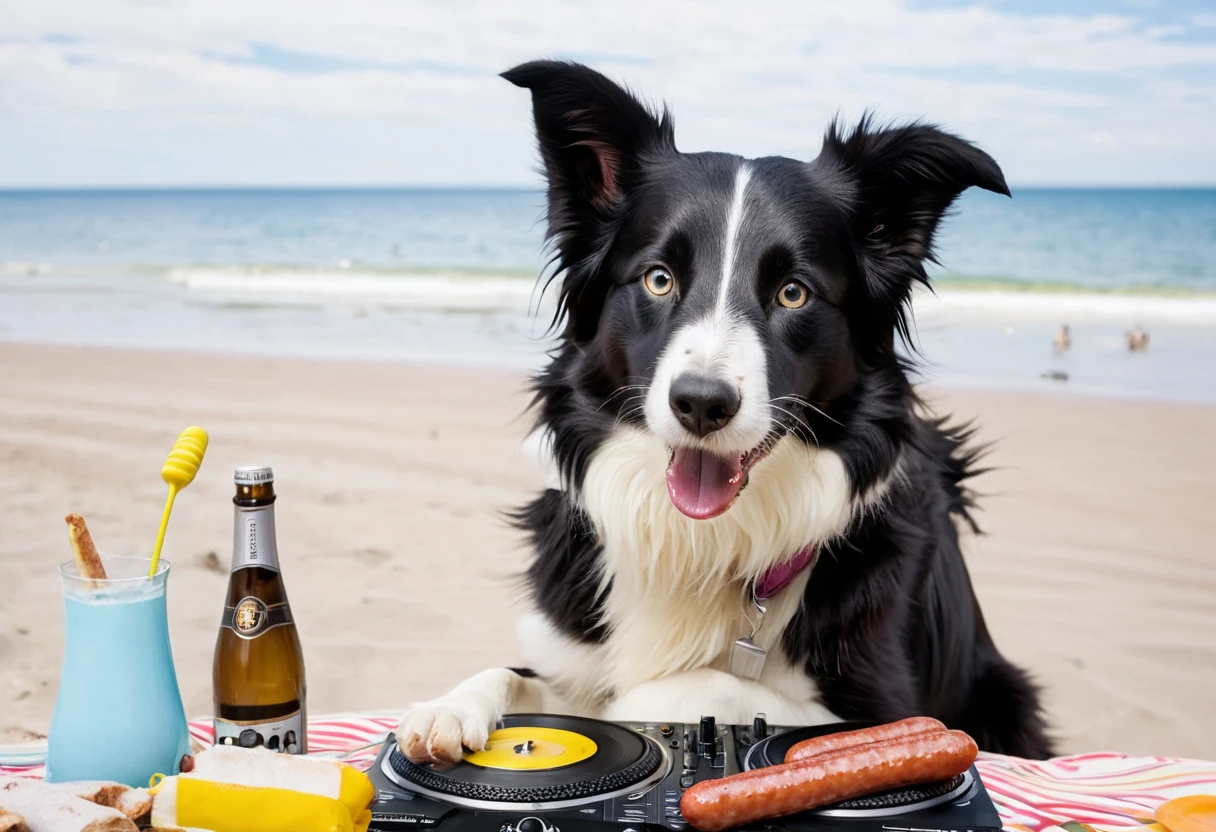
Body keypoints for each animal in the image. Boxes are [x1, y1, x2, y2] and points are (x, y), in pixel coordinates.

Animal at [398, 61, 1055, 763]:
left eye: (793, 293)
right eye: (659, 279)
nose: (701, 403)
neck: (700, 541)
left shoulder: (888, 703)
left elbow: (702, 687)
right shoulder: (570, 654)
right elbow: (520, 677)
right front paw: (448, 708)